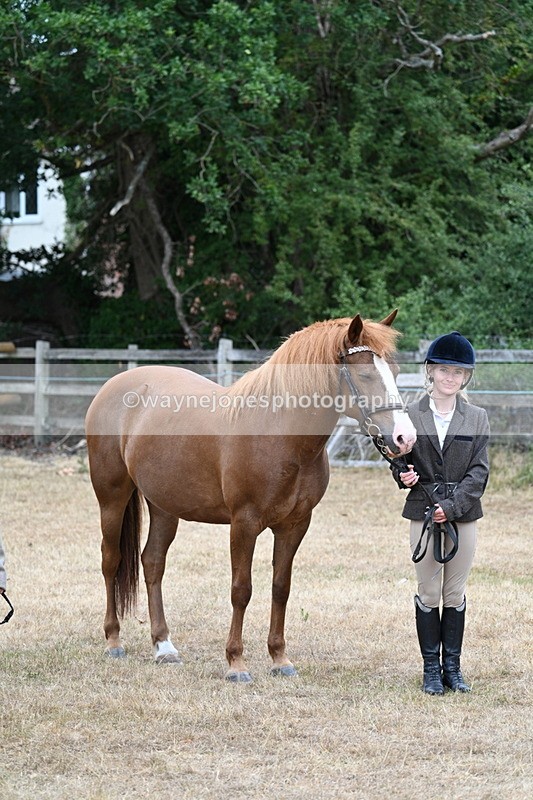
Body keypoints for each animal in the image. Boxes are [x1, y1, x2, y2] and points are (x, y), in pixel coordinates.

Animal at [85, 310, 416, 682]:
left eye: (396, 372)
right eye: (365, 373)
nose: (405, 438)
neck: (278, 431)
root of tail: (116, 384)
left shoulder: (295, 525)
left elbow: (281, 587)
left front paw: (280, 659)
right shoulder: (243, 523)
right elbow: (241, 590)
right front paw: (236, 663)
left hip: (164, 506)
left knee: (153, 562)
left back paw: (164, 646)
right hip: (111, 497)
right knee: (111, 560)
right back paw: (114, 640)